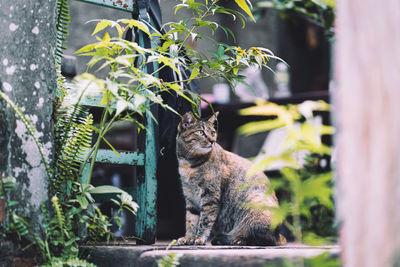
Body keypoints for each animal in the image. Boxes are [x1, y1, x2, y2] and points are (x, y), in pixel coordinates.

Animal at [177, 112, 286, 246]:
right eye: (200, 132)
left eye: (212, 132)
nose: (212, 140)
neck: (188, 164)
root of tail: (279, 235)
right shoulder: (190, 198)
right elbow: (191, 222)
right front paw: (189, 238)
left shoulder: (210, 197)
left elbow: (205, 221)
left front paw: (199, 238)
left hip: (254, 204)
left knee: (264, 239)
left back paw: (236, 239)